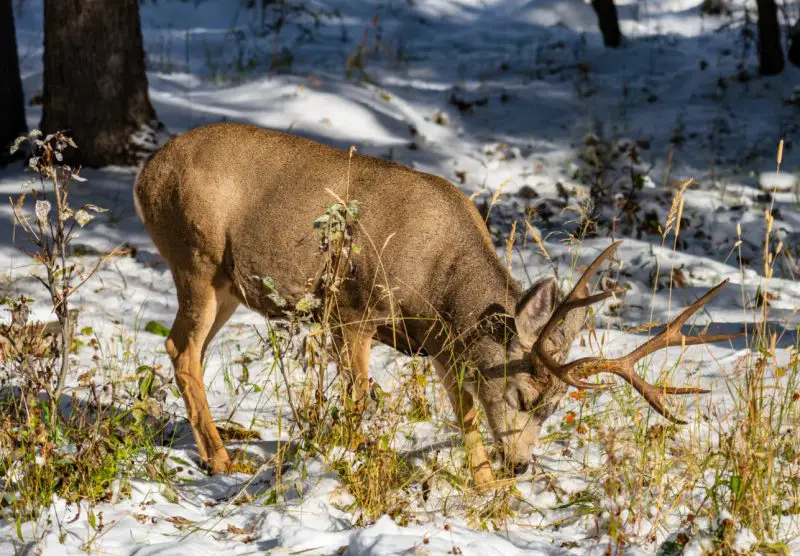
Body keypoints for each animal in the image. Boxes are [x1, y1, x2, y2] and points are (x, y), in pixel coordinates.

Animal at [133, 122, 738, 487]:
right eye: (523, 395)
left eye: (552, 408)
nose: (521, 466)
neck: (441, 281)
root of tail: (145, 175)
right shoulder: (354, 308)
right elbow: (359, 397)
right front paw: (346, 457)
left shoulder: (446, 346)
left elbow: (465, 415)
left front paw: (487, 489)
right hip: (196, 257)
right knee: (181, 349)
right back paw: (219, 458)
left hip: (227, 284)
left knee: (184, 350)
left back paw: (219, 445)